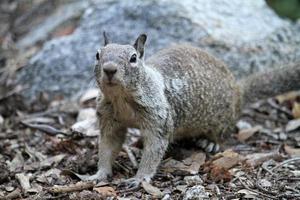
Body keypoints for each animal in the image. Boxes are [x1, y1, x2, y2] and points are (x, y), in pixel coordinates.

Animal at [89, 33, 300, 189]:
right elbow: (108, 147)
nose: (109, 69)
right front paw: (99, 174)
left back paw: (210, 143)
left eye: (133, 58)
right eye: (97, 54)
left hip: (221, 121)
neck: (121, 99)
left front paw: (139, 178)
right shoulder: (109, 120)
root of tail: (238, 91)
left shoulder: (158, 120)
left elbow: (153, 150)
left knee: (222, 134)